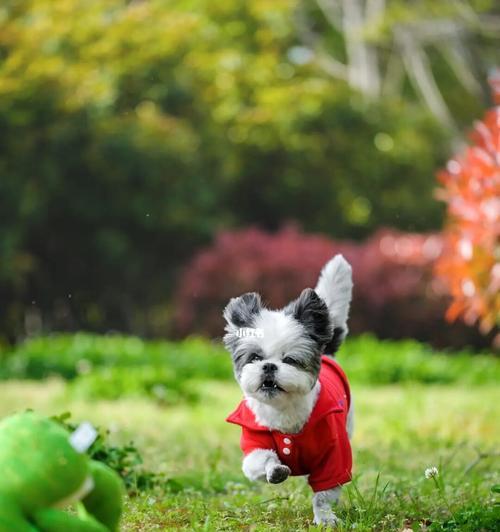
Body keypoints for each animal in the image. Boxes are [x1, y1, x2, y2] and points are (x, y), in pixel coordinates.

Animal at [225, 256, 354, 524]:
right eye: (255, 357)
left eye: (290, 360)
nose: (269, 366)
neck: (284, 412)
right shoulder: (253, 446)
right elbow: (261, 461)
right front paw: (275, 469)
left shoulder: (335, 456)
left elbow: (324, 493)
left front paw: (325, 518)